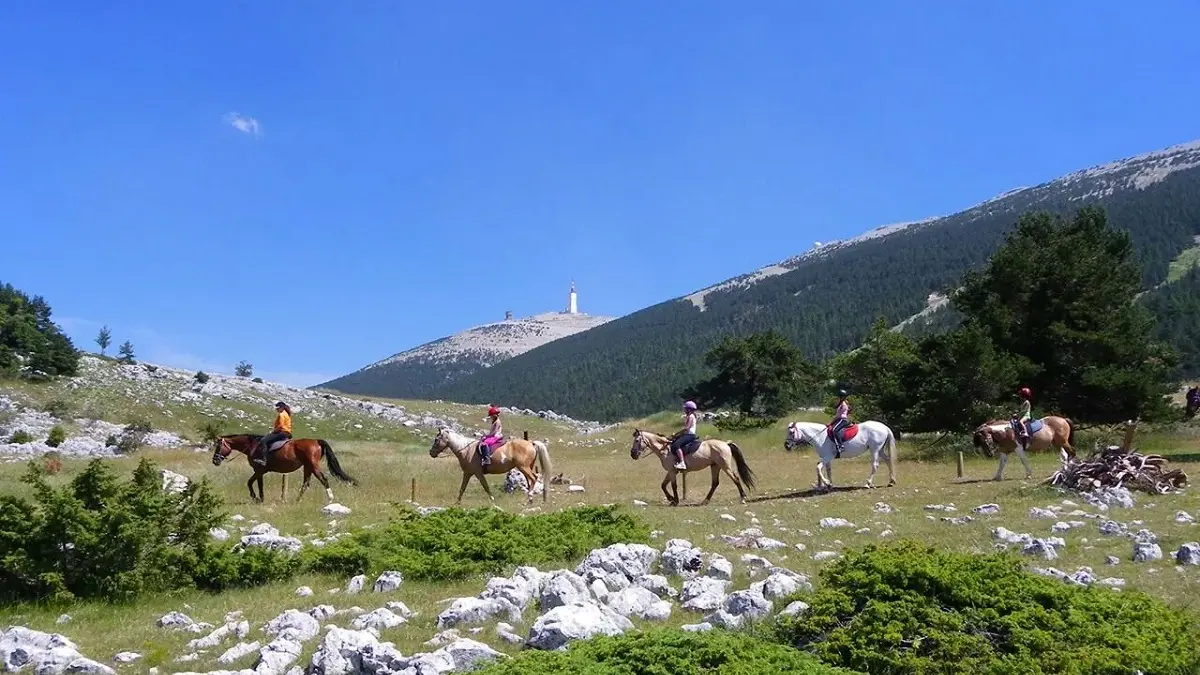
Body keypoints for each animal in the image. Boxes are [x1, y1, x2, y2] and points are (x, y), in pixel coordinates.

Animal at [212, 432, 355, 502]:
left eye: (218, 446)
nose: (215, 461)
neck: (253, 446)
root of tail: (316, 441)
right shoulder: (260, 471)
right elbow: (255, 483)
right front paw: (258, 498)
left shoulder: (259, 470)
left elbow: (252, 483)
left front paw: (257, 498)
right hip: (307, 467)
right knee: (306, 483)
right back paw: (297, 500)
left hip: (313, 466)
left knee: (323, 479)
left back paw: (330, 498)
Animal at [628, 427, 758, 502]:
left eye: (637, 440)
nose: (633, 454)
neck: (665, 449)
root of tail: (726, 444)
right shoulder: (671, 471)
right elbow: (663, 485)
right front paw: (671, 499)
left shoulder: (672, 471)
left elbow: (673, 486)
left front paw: (675, 500)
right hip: (715, 466)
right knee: (715, 483)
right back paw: (705, 500)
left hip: (725, 466)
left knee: (735, 478)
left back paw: (743, 498)